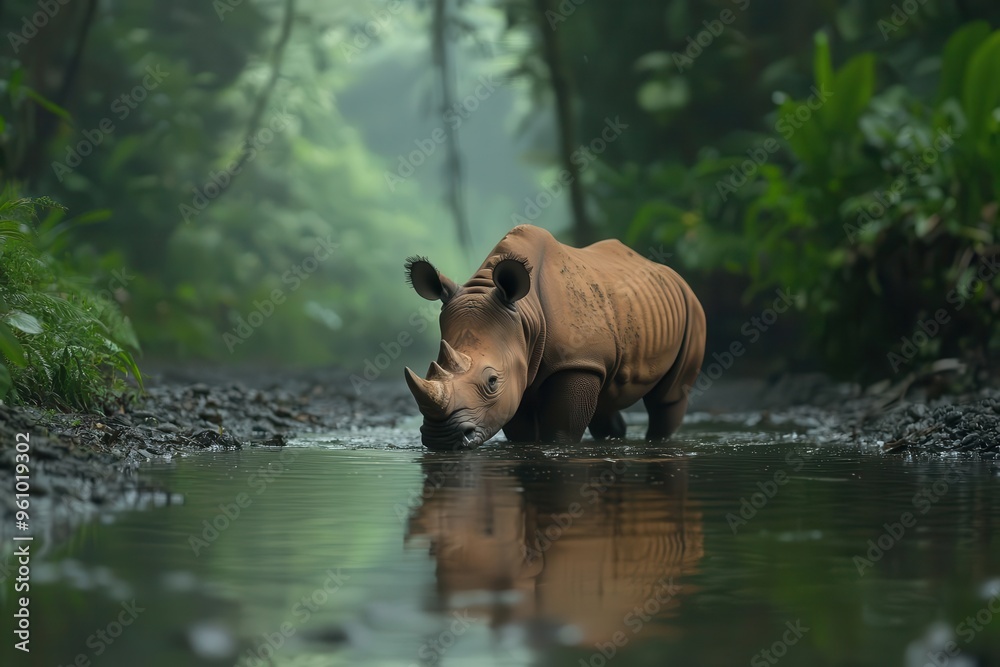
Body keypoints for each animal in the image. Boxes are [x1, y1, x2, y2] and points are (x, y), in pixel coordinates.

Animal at [404, 224, 706, 450]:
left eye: (492, 381)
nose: (440, 438)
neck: (525, 317)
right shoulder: (519, 369)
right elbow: (521, 429)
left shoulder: (578, 362)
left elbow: (562, 429)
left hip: (692, 307)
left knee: (669, 397)